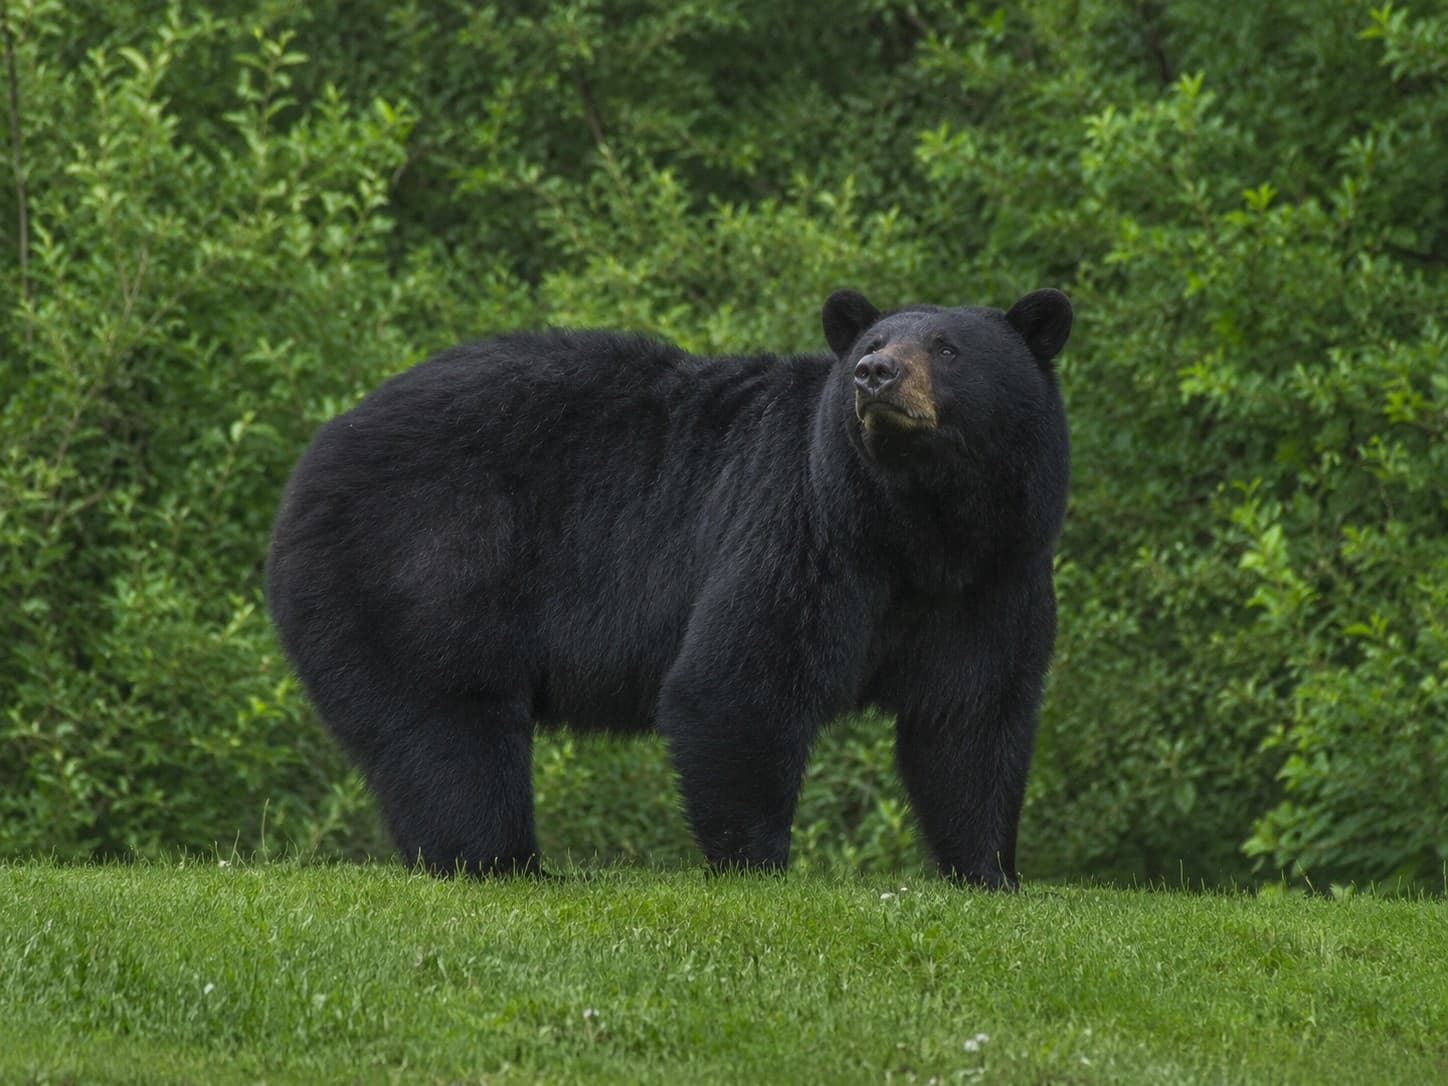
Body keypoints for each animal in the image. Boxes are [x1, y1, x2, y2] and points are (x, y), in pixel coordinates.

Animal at [266, 288, 1072, 888]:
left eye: (946, 347)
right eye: (874, 341)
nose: (873, 373)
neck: (918, 526)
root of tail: (317, 452)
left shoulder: (996, 580)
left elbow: (972, 718)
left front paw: (990, 872)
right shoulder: (804, 532)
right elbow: (738, 681)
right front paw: (758, 866)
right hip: (421, 561)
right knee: (449, 726)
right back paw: (507, 863)